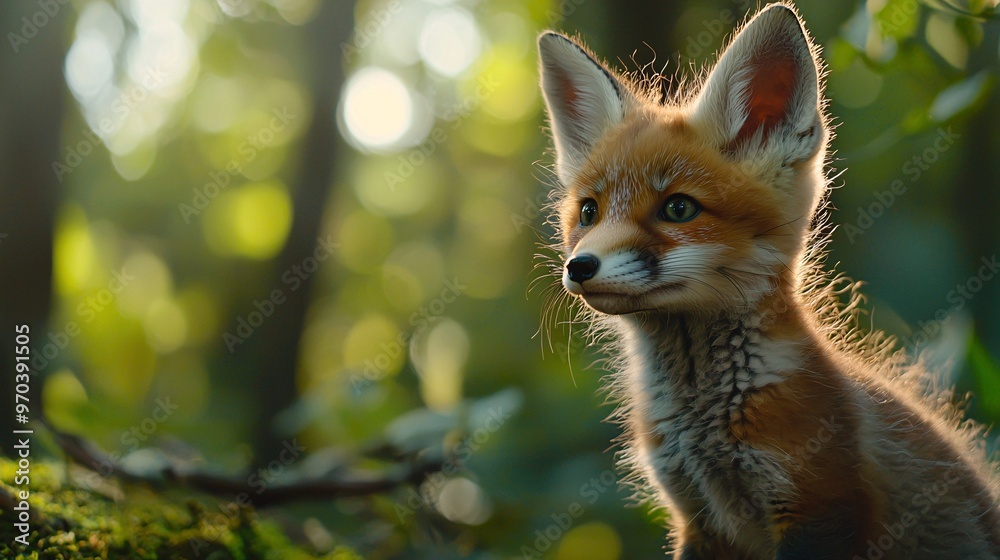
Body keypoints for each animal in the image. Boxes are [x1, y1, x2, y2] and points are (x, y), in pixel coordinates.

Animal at [536, 3, 1000, 559]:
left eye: (678, 208)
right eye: (589, 212)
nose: (579, 266)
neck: (704, 429)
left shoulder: (820, 507)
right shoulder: (699, 520)